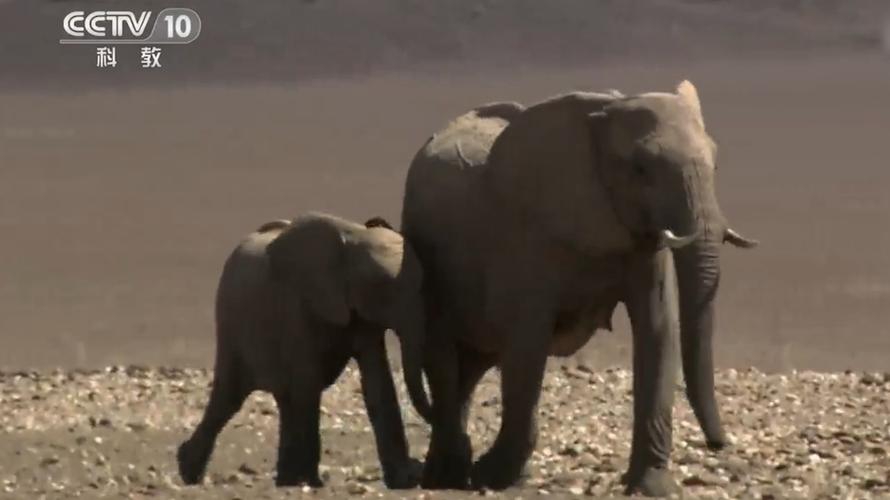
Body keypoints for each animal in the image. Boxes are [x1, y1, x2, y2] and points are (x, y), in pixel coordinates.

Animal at [176, 211, 430, 488]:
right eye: (381, 288)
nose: (418, 466)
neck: (352, 239)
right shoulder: (295, 305)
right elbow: (309, 382)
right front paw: (312, 482)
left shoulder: (360, 315)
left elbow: (378, 382)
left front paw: (404, 480)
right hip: (230, 323)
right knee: (230, 397)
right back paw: (189, 471)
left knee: (284, 399)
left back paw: (284, 480)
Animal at [402, 82, 756, 496]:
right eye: (640, 169)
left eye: (715, 163)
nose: (719, 444)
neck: (604, 111)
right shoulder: (526, 235)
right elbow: (527, 342)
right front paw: (495, 476)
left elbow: (657, 329)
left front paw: (652, 487)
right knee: (445, 360)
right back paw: (448, 476)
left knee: (470, 369)